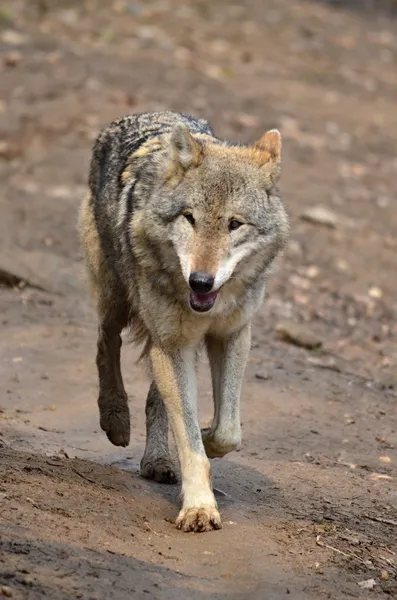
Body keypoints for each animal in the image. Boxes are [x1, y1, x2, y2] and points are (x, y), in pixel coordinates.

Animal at [79, 110, 288, 532]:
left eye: (234, 224)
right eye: (190, 218)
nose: (200, 282)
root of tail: (143, 114)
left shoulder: (232, 334)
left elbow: (227, 431)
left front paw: (206, 437)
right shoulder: (173, 343)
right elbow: (191, 443)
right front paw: (199, 508)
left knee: (155, 399)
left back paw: (158, 460)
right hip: (117, 299)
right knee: (105, 342)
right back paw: (115, 418)